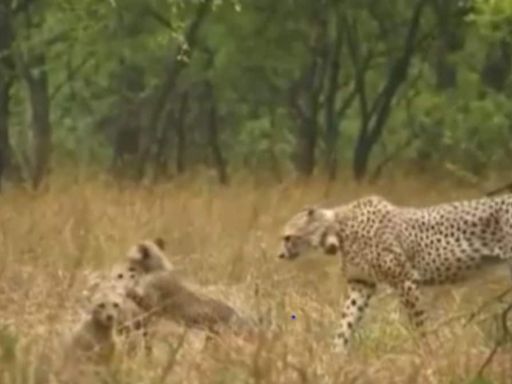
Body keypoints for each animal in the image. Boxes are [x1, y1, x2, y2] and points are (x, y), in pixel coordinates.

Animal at [278, 195, 512, 352]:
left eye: (288, 237)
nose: (280, 255)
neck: (337, 230)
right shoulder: (361, 284)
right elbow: (347, 321)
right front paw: (335, 355)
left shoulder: (405, 281)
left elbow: (419, 325)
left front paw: (427, 354)